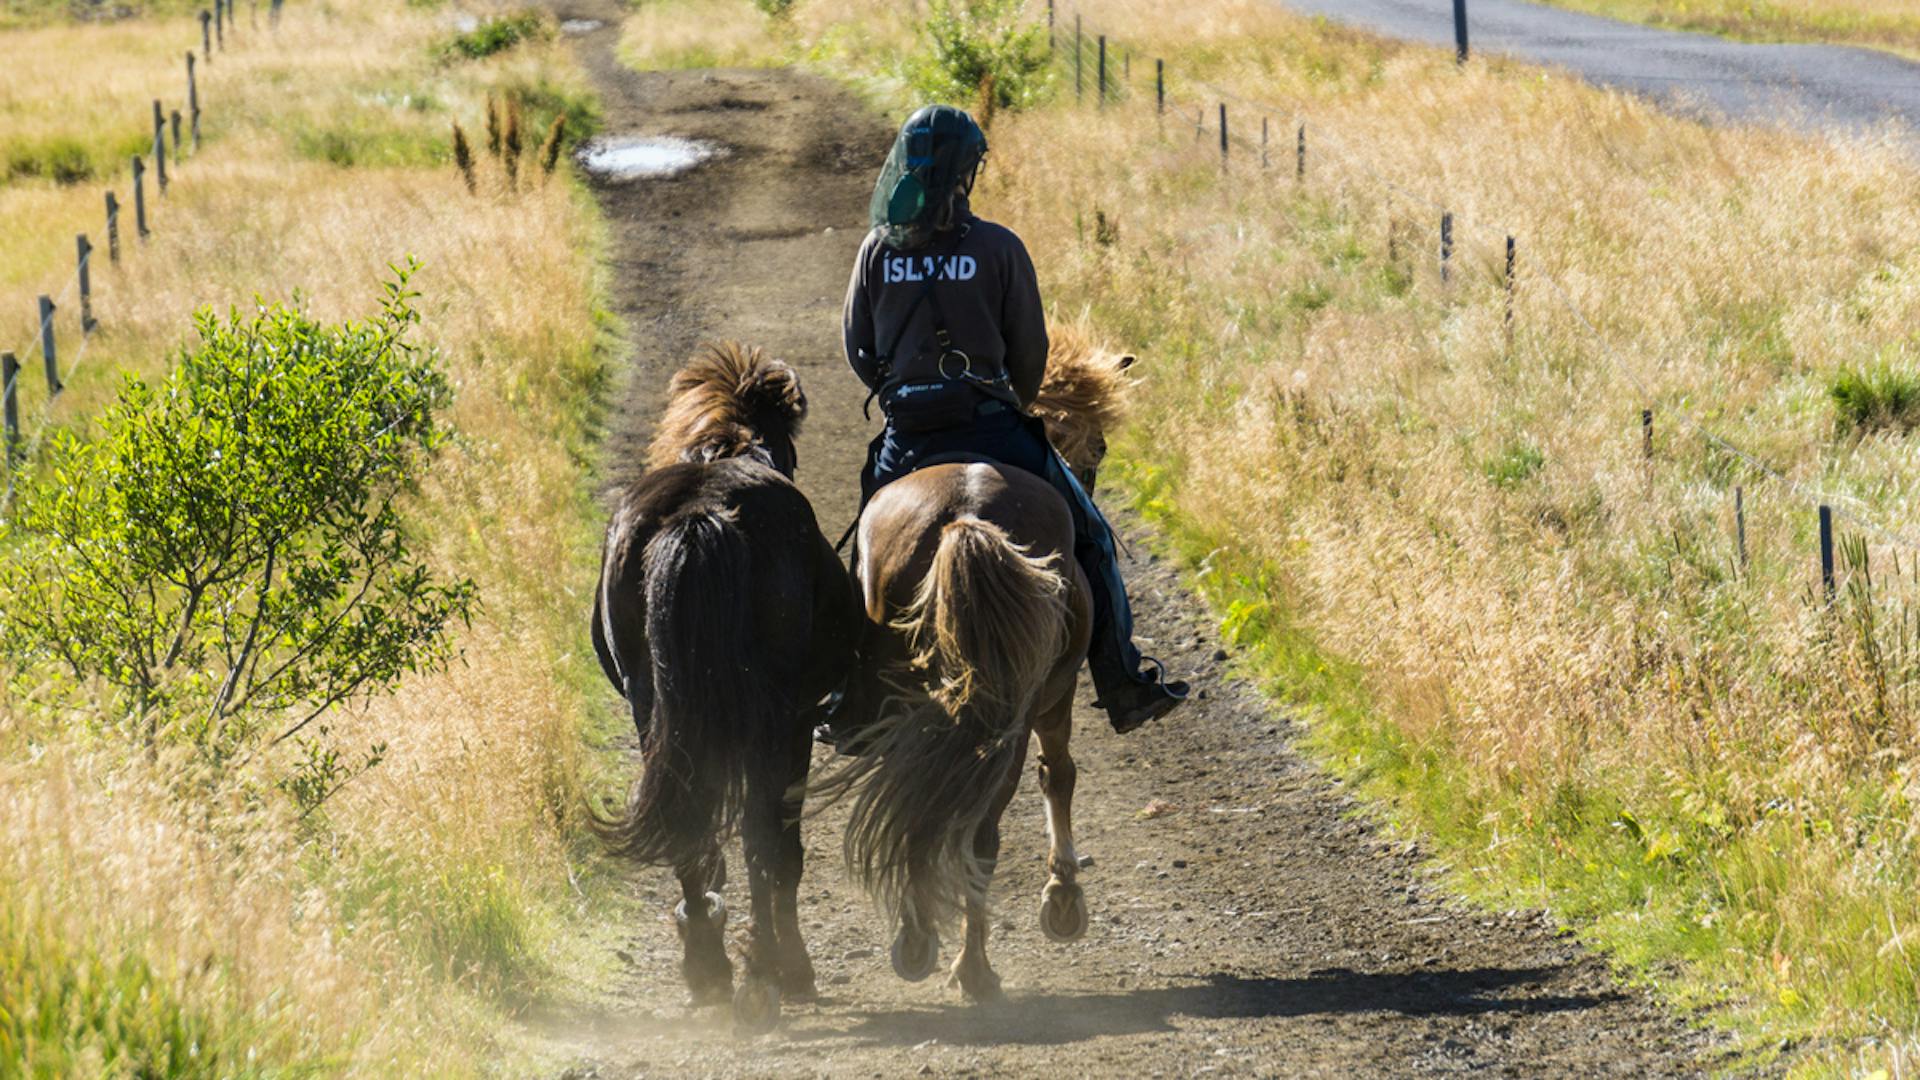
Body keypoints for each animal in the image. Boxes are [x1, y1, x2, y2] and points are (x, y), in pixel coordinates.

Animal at [583, 340, 856, 1030]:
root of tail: (700, 515)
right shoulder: (796, 720)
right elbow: (780, 847)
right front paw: (788, 966)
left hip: (655, 711)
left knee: (691, 826)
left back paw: (708, 968)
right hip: (776, 720)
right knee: (765, 838)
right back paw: (771, 972)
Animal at [821, 328, 1121, 999]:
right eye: (1097, 448)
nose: (1088, 478)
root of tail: (967, 514)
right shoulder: (1056, 694)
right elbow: (1058, 775)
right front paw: (1063, 900)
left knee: (937, 807)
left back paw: (931, 948)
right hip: (1008, 706)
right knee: (972, 827)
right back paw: (964, 963)